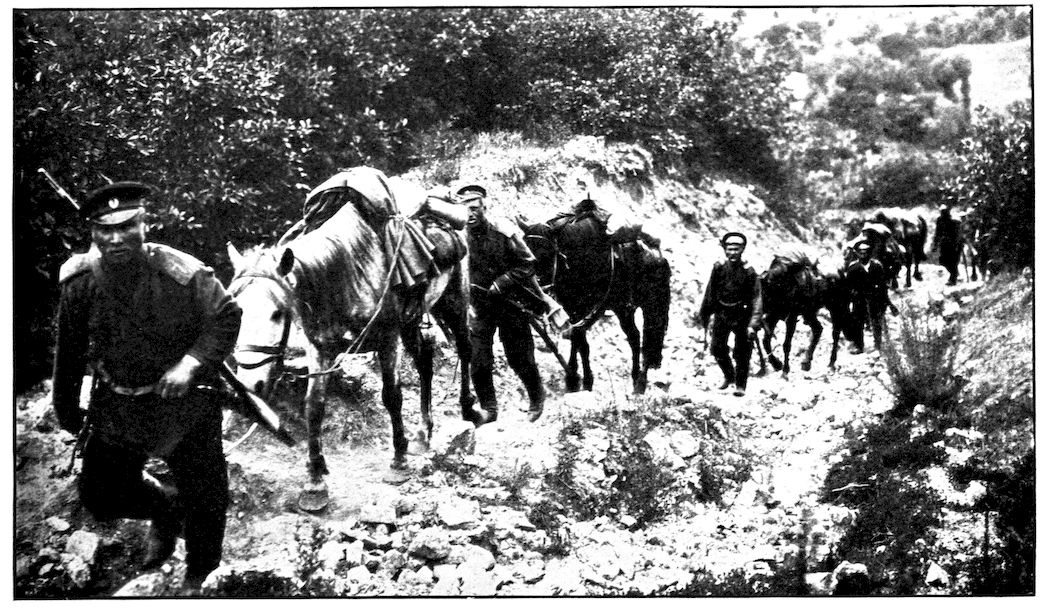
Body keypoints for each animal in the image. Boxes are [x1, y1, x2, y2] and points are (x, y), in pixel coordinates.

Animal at [226, 168, 476, 512]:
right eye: (237, 311)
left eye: (278, 313)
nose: (251, 385)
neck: (345, 271)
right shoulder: (320, 350)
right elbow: (313, 407)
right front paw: (315, 482)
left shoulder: (387, 340)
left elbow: (392, 396)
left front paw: (398, 461)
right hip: (412, 319)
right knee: (425, 359)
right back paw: (424, 432)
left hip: (454, 300)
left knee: (465, 346)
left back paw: (471, 410)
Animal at [519, 213, 671, 394]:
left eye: (546, 253)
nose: (531, 292)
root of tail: (658, 254)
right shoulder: (573, 308)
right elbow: (577, 340)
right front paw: (573, 379)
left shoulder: (583, 308)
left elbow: (581, 342)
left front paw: (585, 381)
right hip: (622, 309)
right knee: (634, 336)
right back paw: (636, 379)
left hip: (650, 306)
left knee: (648, 337)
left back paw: (640, 382)